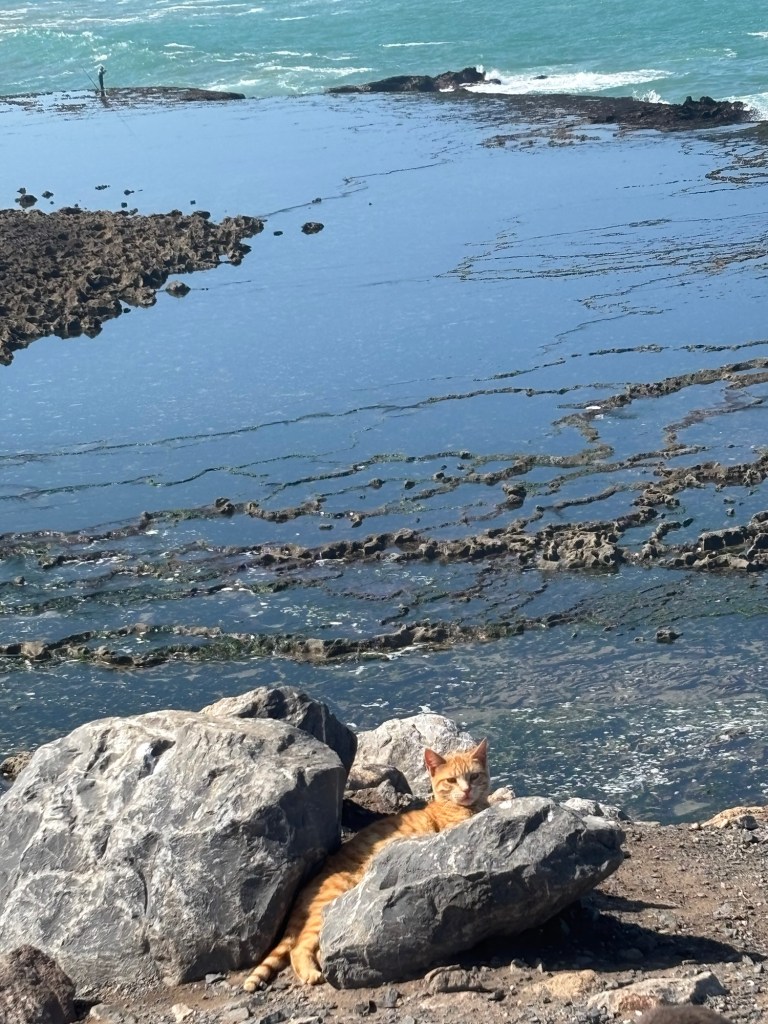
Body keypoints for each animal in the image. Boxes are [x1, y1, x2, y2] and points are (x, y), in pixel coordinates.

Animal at [242, 738, 490, 990]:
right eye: (451, 780)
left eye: (474, 777)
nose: (467, 790)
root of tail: (309, 885)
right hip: (328, 905)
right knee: (298, 947)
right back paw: (311, 973)